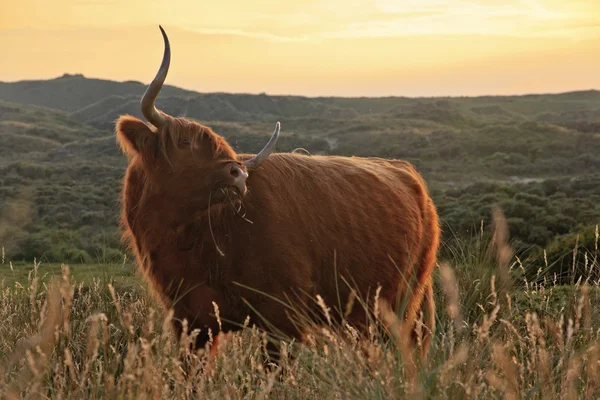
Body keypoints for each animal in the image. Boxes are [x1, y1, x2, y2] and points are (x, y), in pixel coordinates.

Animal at [116, 26, 440, 358]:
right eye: (184, 142)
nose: (239, 174)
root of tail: (404, 170)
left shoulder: (282, 317)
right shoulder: (190, 321)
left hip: (404, 301)